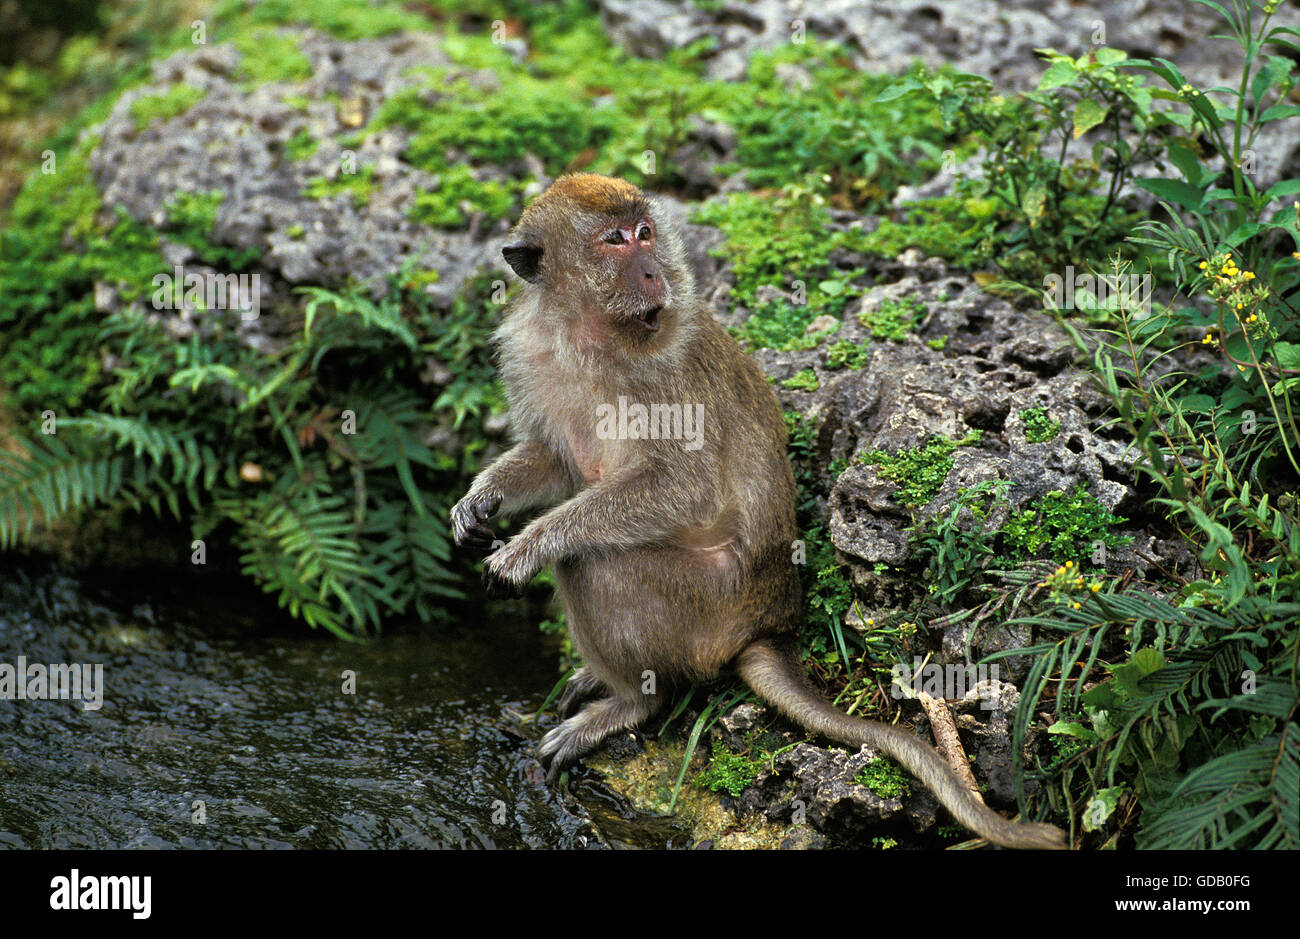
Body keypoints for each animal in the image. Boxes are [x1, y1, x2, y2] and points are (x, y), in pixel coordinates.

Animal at [450, 173, 1066, 850]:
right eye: (614, 241)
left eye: (644, 233)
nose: (651, 273)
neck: (587, 331)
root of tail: (765, 625)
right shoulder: (529, 353)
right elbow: (553, 458)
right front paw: (479, 501)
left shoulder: (660, 377)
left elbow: (681, 487)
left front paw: (526, 547)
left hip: (705, 605)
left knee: (592, 565)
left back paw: (632, 700)